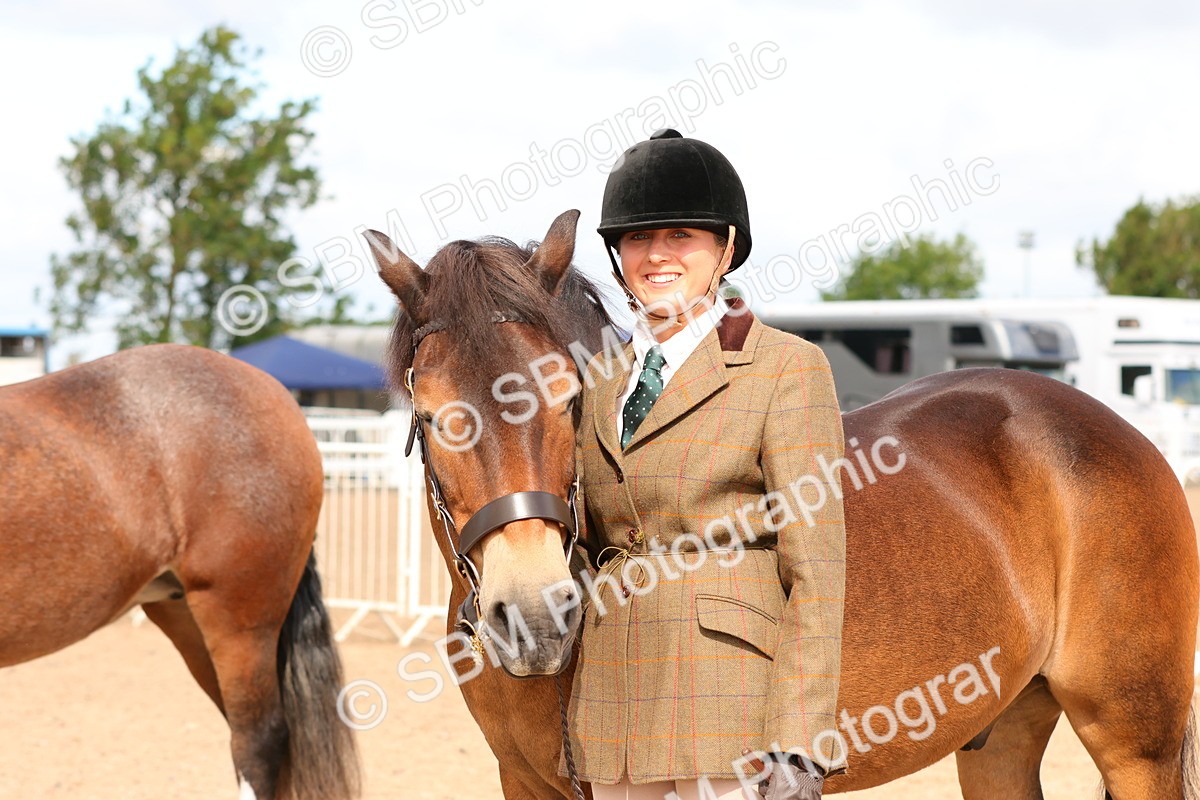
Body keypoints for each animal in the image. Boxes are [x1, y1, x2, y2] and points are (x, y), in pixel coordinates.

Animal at [367, 210, 1199, 800]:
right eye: (432, 416)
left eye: (569, 400)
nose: (536, 621)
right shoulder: (524, 782)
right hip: (1003, 733)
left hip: (1137, 742)